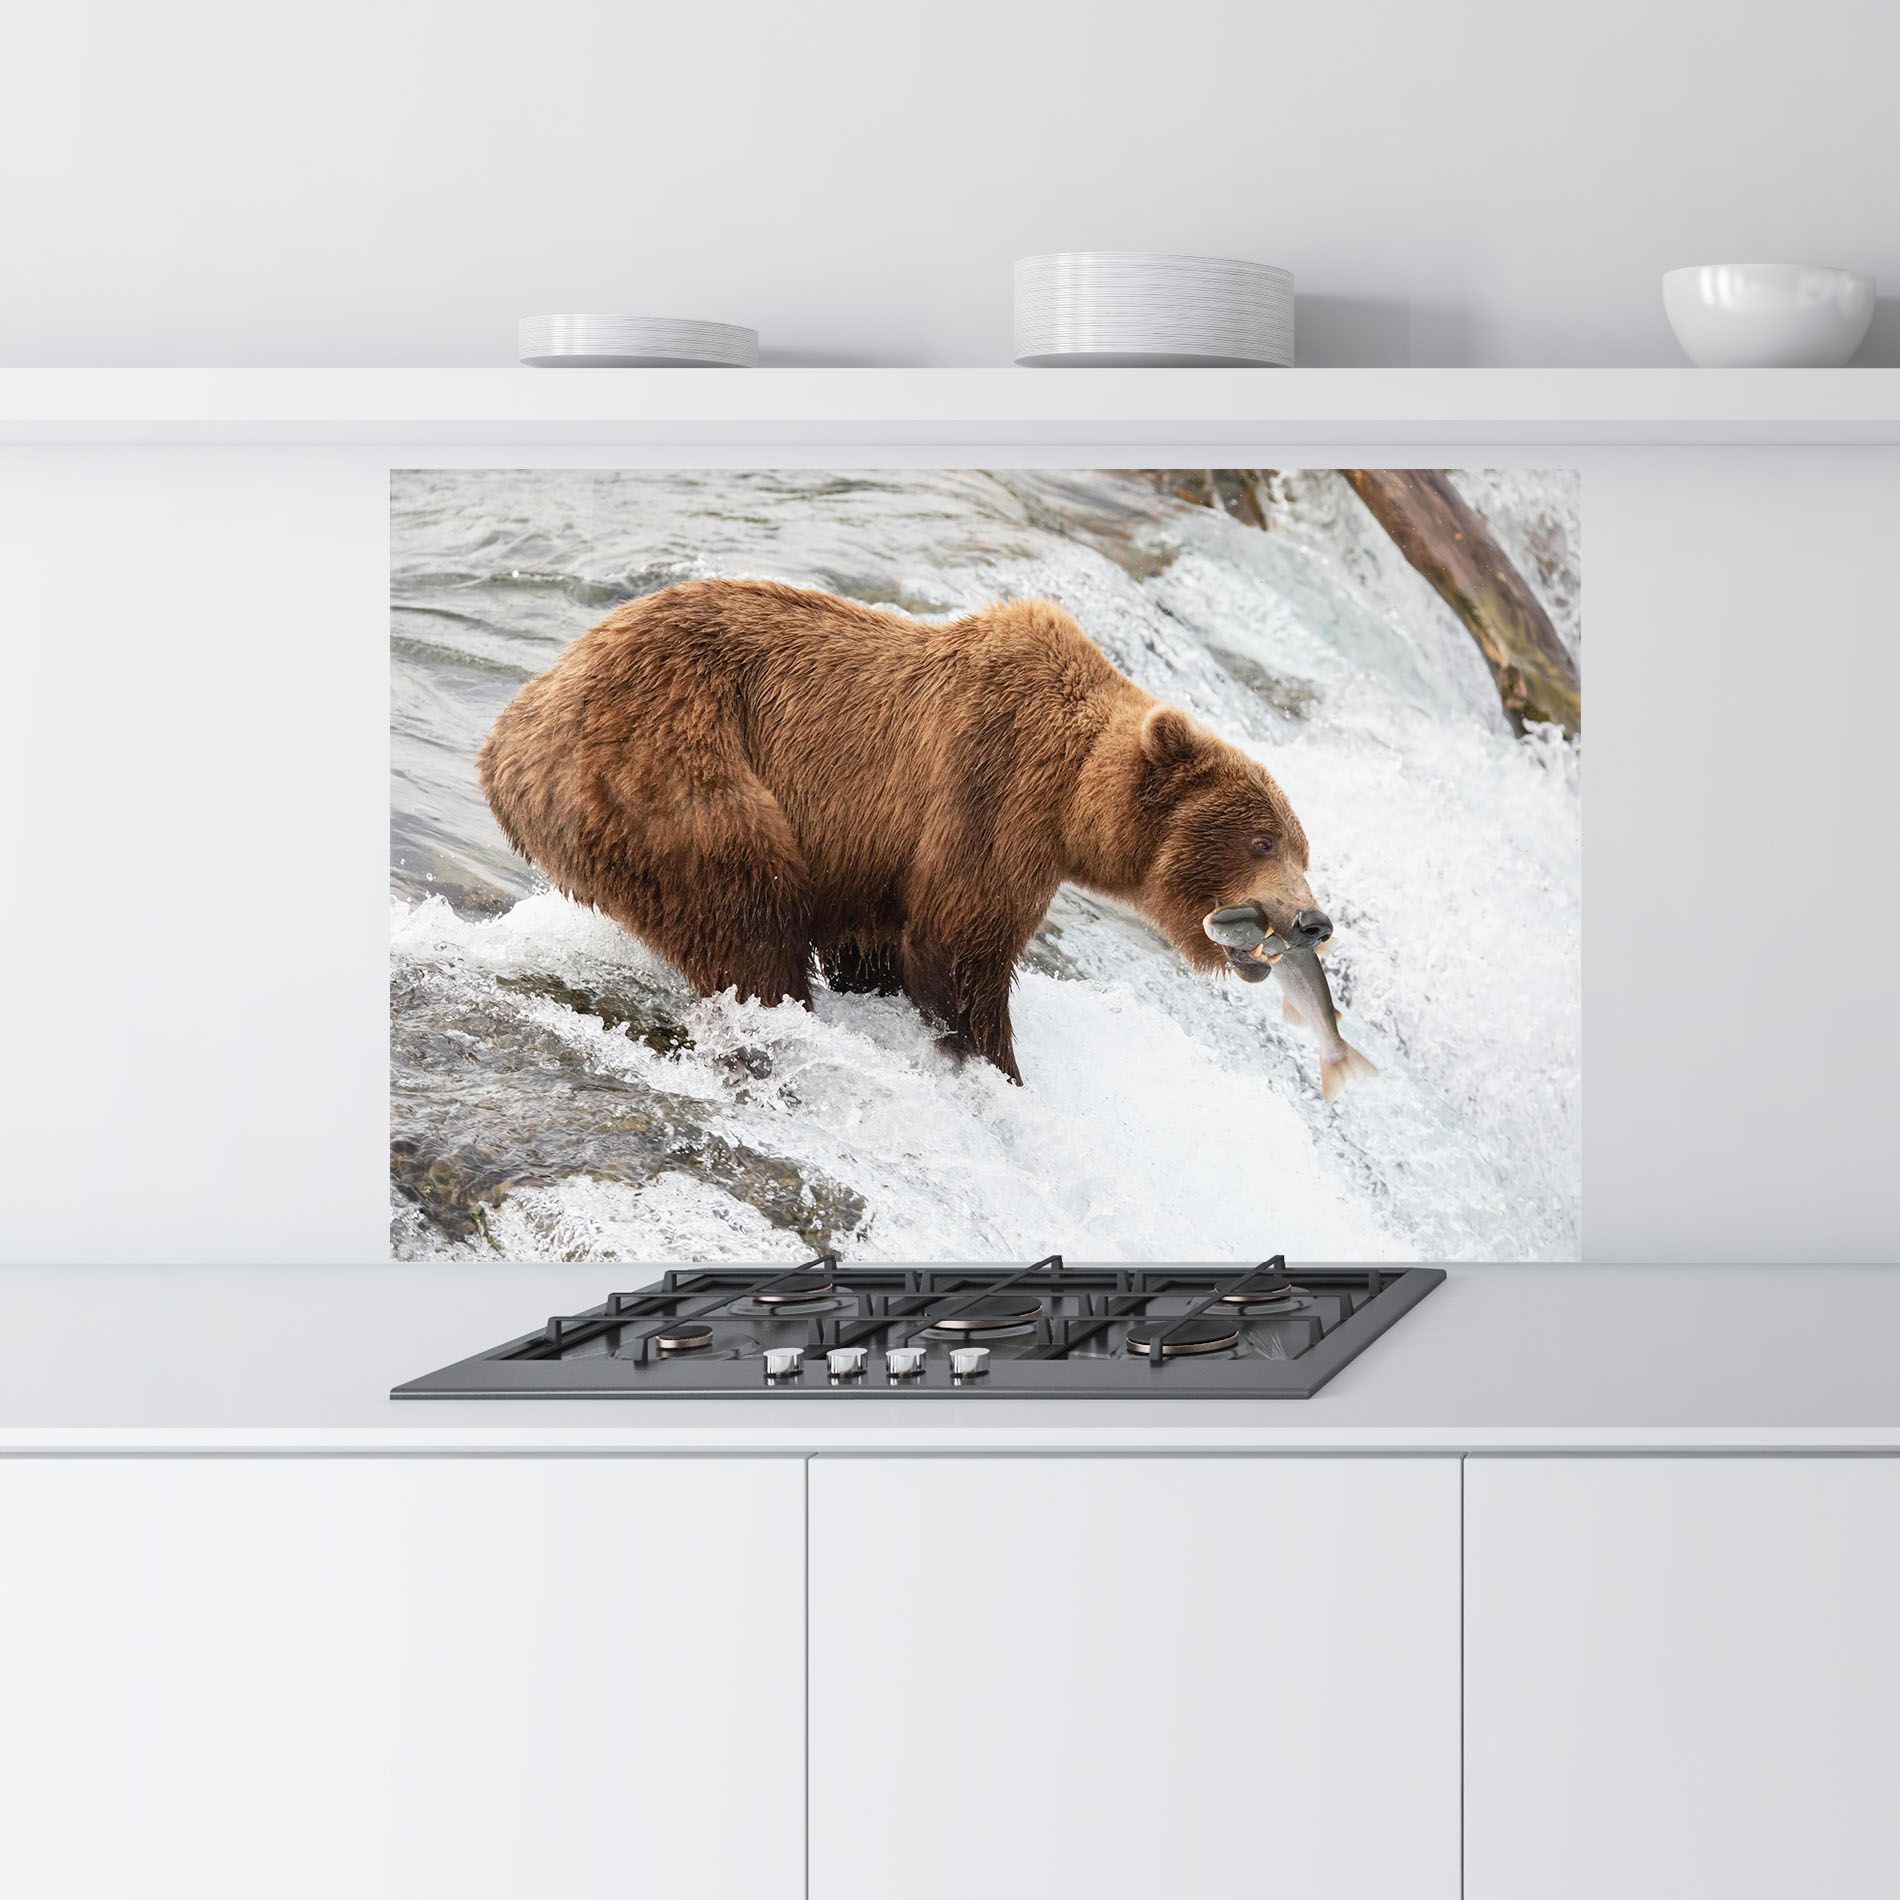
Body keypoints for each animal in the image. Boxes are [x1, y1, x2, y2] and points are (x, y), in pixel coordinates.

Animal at [478, 578, 1331, 1083]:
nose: (1313, 922)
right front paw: (995, 1066)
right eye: (1263, 840)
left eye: (1302, 846)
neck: (1072, 799)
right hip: (671, 766)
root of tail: (510, 730)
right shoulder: (990, 792)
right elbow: (959, 949)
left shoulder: (876, 860)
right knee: (746, 911)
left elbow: (880, 945)